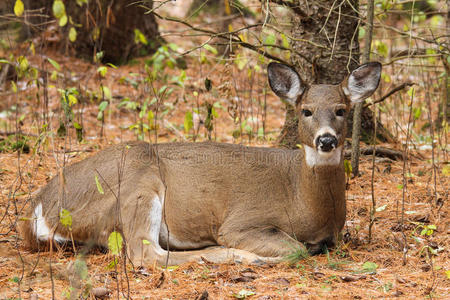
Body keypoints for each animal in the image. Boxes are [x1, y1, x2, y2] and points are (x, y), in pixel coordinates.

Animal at [19, 61, 382, 264]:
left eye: (341, 110)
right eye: (306, 110)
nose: (326, 140)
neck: (301, 197)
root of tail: (39, 210)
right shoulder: (241, 222)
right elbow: (296, 248)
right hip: (138, 182)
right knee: (144, 253)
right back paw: (242, 257)